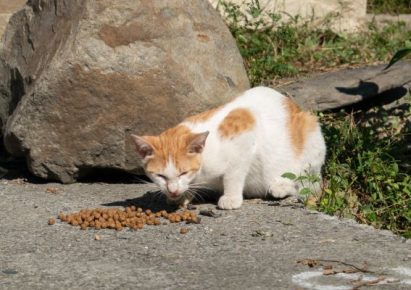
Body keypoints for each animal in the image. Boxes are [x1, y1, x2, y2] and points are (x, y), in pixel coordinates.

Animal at [130, 85, 326, 210]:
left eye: (183, 172)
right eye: (160, 176)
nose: (172, 191)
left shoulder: (246, 133)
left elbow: (233, 174)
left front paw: (230, 198)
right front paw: (183, 196)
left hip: (311, 136)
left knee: (307, 184)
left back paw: (281, 186)